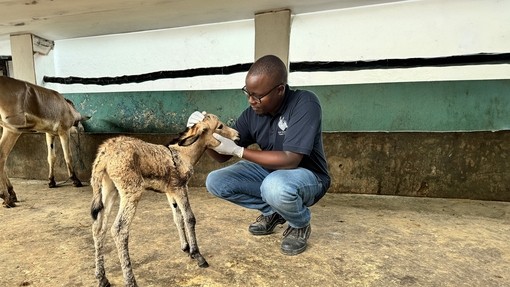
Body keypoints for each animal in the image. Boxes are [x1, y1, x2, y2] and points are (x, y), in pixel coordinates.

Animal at [0, 76, 89, 207]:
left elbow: (51, 157)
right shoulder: (64, 131)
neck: (66, 107)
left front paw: (52, 181)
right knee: (2, 156)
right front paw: (75, 180)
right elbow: (68, 156)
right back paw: (6, 197)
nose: (82, 130)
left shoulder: (49, 133)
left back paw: (12, 194)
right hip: (12, 130)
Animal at [91, 113, 239, 286]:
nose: (238, 135)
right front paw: (197, 255)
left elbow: (178, 218)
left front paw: (185, 247)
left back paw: (102, 277)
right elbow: (189, 218)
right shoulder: (181, 188)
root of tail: (105, 151)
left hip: (109, 189)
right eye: (220, 126)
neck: (182, 154)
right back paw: (130, 280)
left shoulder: (170, 191)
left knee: (99, 228)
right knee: (119, 229)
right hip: (131, 192)